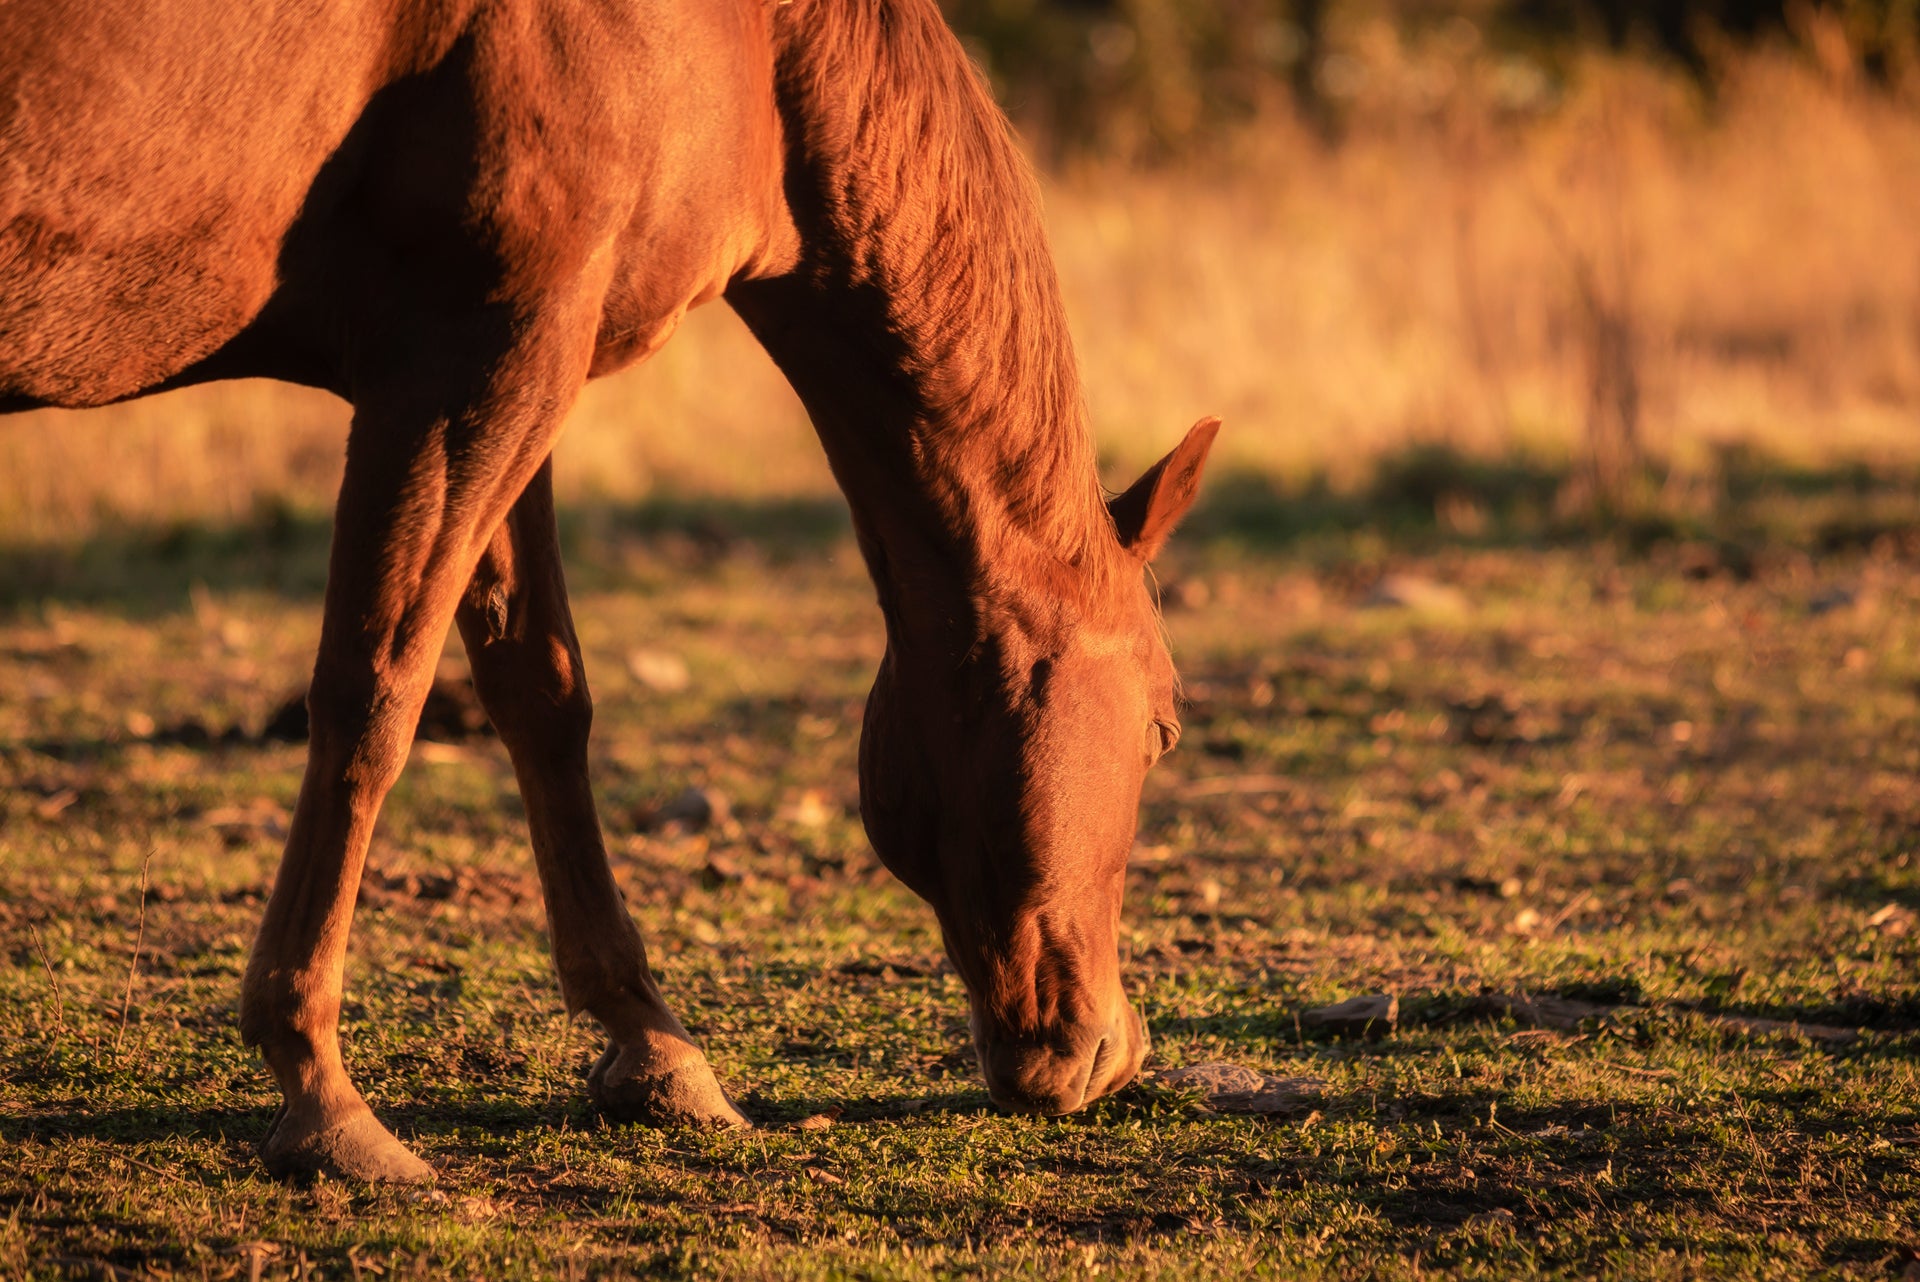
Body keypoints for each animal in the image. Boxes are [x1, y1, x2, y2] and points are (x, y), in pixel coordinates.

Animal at [3, 0, 1213, 1182]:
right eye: (1164, 726)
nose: (1108, 1052)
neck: (757, 46)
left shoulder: (519, 365)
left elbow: (539, 693)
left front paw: (654, 1047)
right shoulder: (481, 357)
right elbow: (375, 694)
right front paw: (319, 1089)